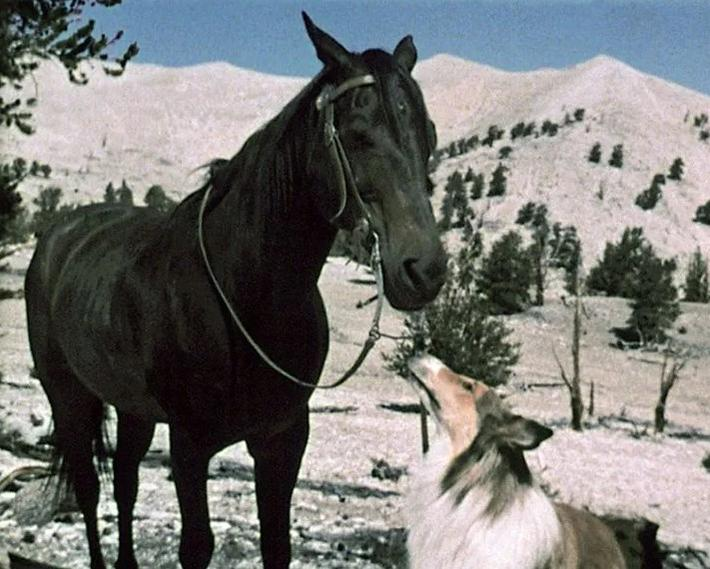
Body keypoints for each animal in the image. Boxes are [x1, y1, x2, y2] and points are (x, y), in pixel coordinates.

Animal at [23, 12, 447, 569]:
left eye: (429, 133)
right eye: (357, 133)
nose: (424, 270)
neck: (246, 293)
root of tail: (57, 235)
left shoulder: (282, 440)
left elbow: (276, 546)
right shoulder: (189, 445)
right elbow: (197, 546)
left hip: (133, 408)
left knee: (125, 485)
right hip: (69, 397)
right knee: (90, 489)